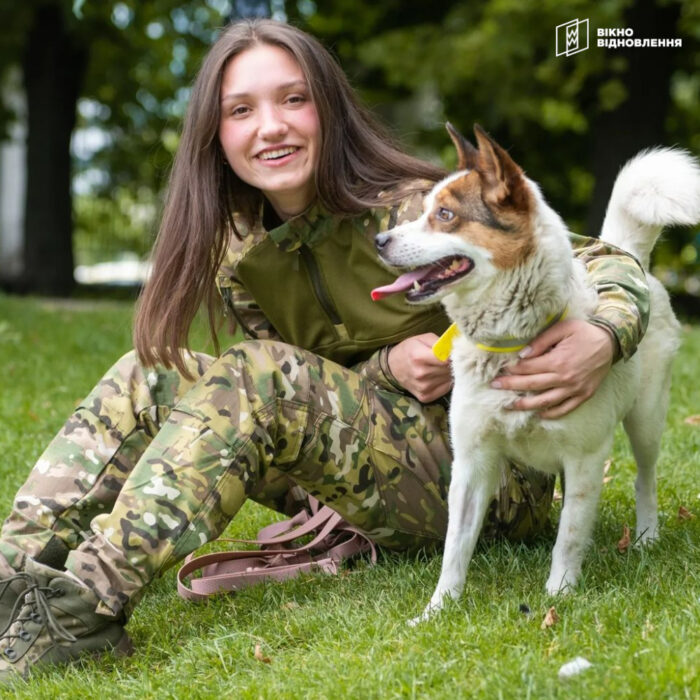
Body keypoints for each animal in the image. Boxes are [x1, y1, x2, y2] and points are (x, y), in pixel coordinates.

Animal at [372, 123, 700, 620]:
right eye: (425, 209)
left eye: (445, 215)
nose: (379, 241)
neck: (511, 343)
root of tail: (629, 255)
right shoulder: (471, 463)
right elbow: (454, 548)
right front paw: (437, 610)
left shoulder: (586, 458)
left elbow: (569, 537)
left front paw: (558, 596)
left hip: (647, 419)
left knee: (645, 477)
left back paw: (645, 536)